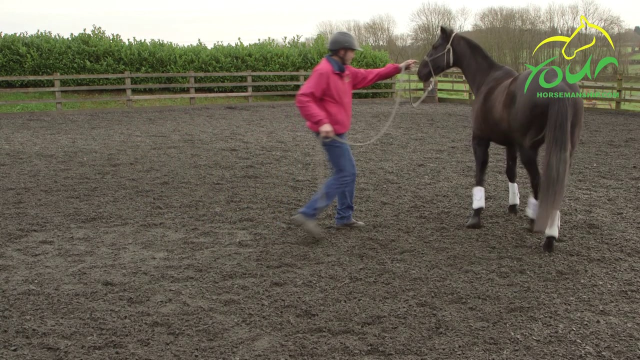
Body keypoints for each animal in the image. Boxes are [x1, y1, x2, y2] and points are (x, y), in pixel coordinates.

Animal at [418, 26, 584, 253]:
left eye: (436, 46)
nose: (420, 71)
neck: (487, 79)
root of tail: (558, 86)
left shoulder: (480, 139)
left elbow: (480, 173)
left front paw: (475, 216)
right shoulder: (511, 144)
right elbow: (510, 172)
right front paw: (514, 207)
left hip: (529, 151)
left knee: (542, 183)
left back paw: (547, 235)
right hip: (565, 150)